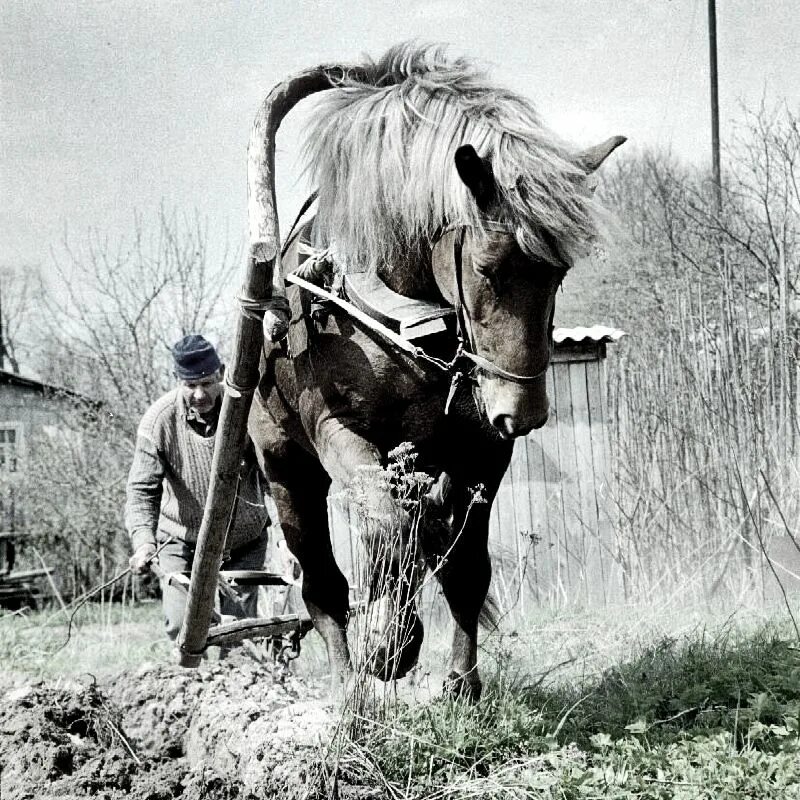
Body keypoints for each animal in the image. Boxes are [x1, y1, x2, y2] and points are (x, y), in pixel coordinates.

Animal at [247, 42, 620, 700]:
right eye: (489, 268)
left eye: (559, 272)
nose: (522, 413)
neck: (404, 322)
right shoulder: (339, 433)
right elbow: (389, 529)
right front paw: (388, 644)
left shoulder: (482, 450)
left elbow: (463, 564)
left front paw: (462, 684)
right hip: (287, 470)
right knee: (323, 580)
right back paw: (349, 690)